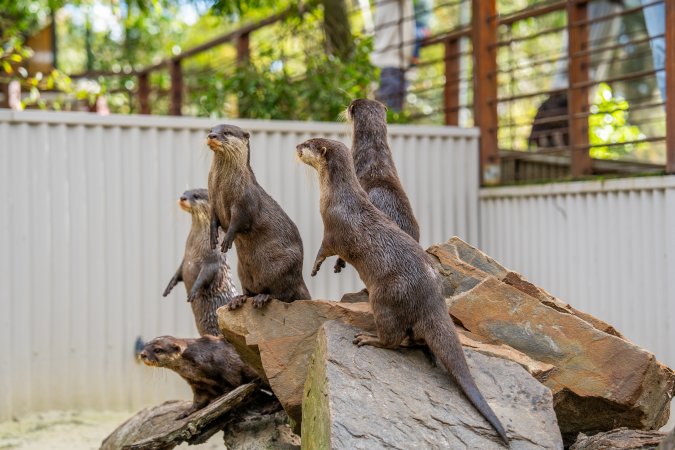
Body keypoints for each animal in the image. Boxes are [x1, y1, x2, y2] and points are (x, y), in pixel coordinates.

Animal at [163, 188, 238, 336]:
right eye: (185, 192)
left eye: (196, 196)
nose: (182, 198)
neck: (194, 247)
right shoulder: (185, 258)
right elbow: (179, 271)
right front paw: (169, 286)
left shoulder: (213, 259)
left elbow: (205, 274)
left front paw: (193, 291)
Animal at [206, 124, 310, 309]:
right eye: (212, 129)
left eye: (226, 132)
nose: (212, 136)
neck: (222, 189)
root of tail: (300, 277)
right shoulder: (213, 203)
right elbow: (213, 220)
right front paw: (213, 239)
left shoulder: (245, 201)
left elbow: (238, 222)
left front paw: (227, 239)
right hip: (242, 272)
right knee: (250, 290)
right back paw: (239, 299)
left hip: (285, 266)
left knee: (283, 294)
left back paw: (263, 297)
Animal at [296, 138, 509, 445]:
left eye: (309, 144)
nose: (296, 147)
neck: (339, 197)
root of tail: (432, 299)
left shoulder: (332, 230)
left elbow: (324, 250)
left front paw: (314, 267)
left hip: (385, 296)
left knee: (393, 339)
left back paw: (367, 338)